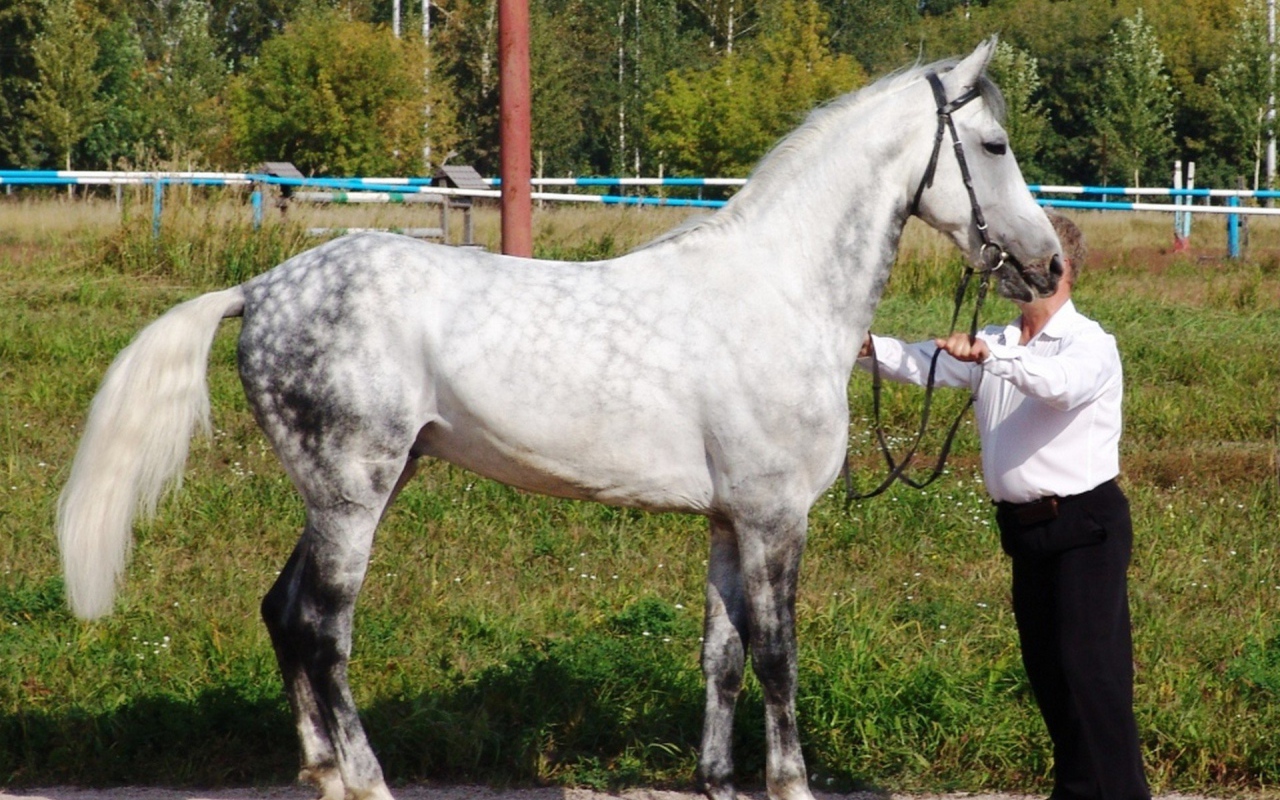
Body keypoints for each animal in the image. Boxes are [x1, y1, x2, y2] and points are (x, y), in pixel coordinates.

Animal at [57, 38, 1061, 800]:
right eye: (994, 144)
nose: (1050, 265)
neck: (777, 293)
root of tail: (261, 288)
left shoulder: (730, 519)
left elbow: (723, 655)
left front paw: (716, 782)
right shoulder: (777, 520)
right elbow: (779, 658)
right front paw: (790, 785)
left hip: (350, 490)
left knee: (281, 612)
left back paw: (324, 773)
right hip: (352, 495)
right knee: (322, 631)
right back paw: (366, 778)